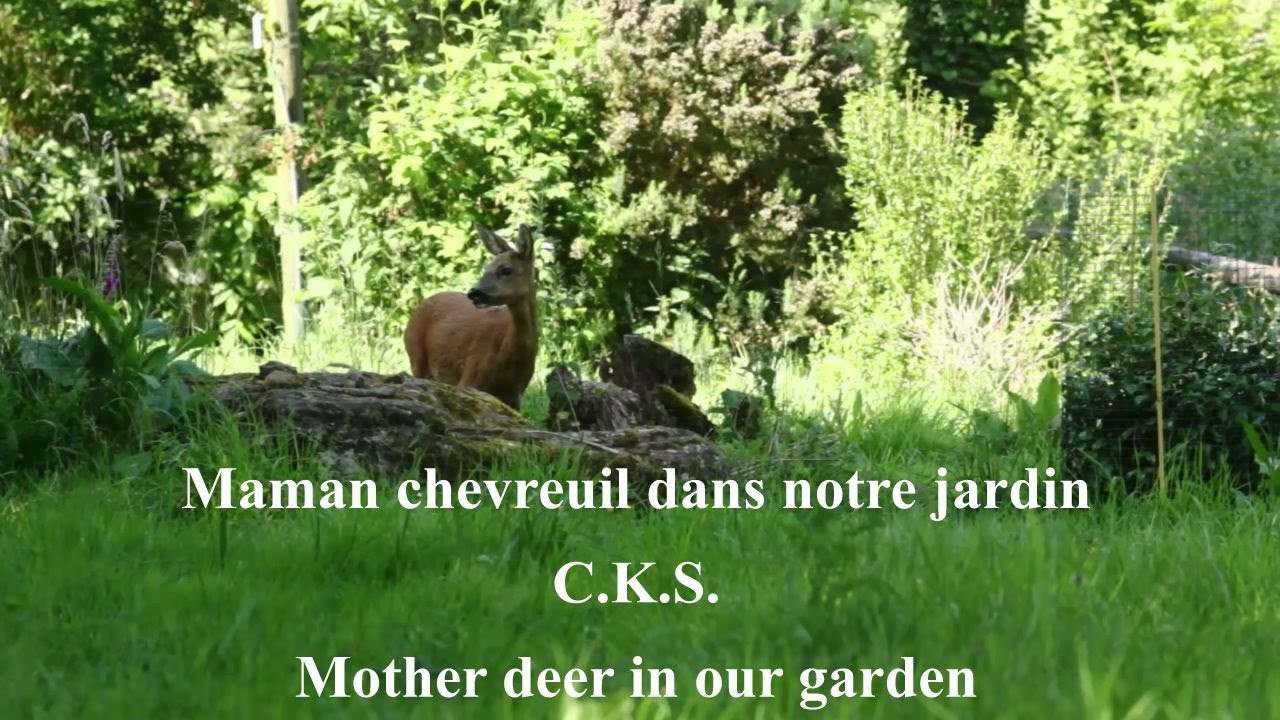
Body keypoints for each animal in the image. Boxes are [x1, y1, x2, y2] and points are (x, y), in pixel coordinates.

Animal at [403, 224, 539, 412]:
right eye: (486, 268)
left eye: (506, 270)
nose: (474, 292)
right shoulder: (470, 378)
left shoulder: (515, 398)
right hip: (416, 356)